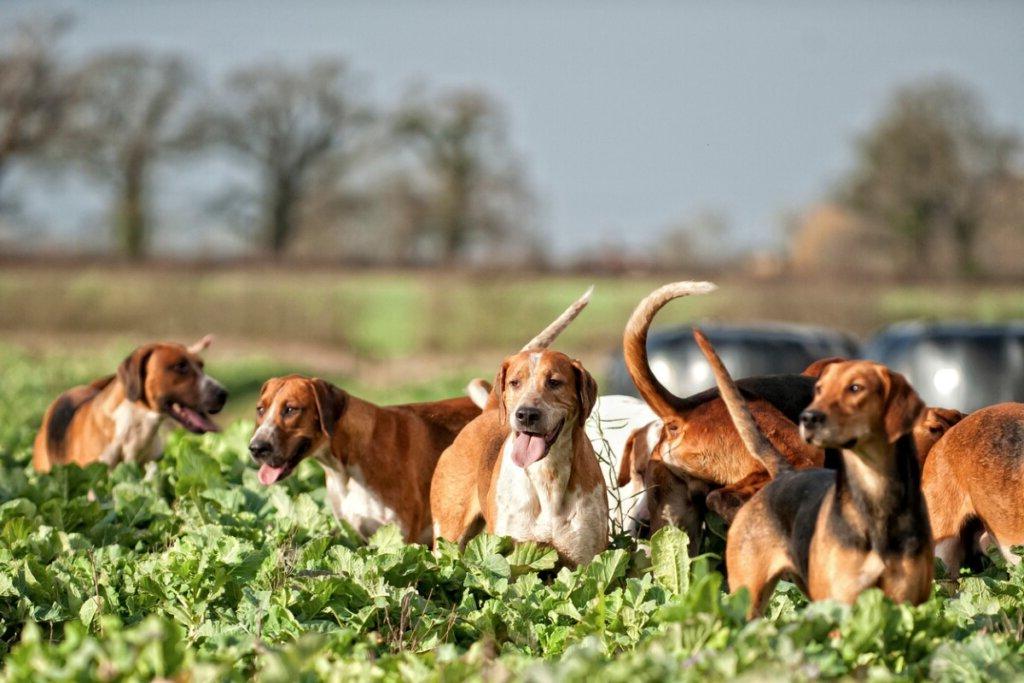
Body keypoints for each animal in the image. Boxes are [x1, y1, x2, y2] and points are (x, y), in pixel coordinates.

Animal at [432, 348, 606, 565]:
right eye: (514, 382)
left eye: (554, 382)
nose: (527, 414)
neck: (547, 474)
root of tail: (489, 411)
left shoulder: (585, 560)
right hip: (447, 538)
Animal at [696, 327, 937, 618]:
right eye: (819, 389)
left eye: (855, 388)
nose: (808, 418)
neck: (875, 498)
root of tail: (785, 473)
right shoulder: (841, 602)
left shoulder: (908, 605)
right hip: (748, 596)